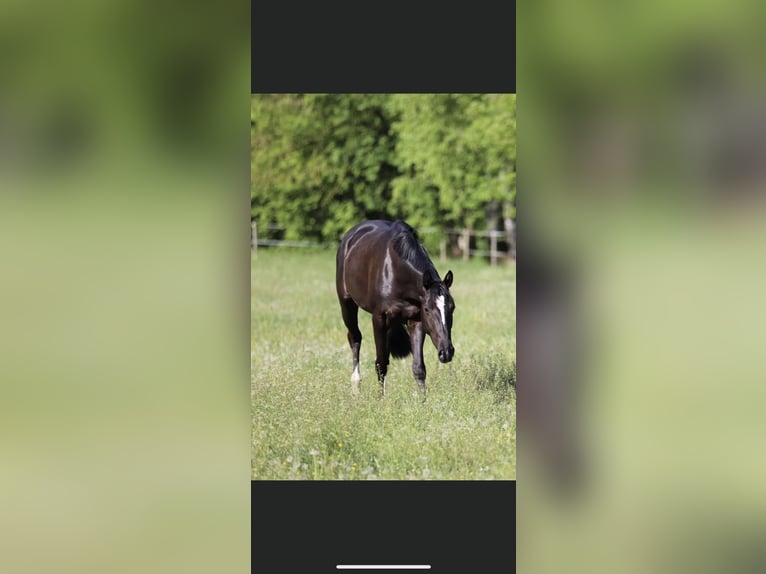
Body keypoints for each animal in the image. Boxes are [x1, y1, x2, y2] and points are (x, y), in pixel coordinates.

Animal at [335, 220, 456, 397]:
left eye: (452, 308)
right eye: (427, 309)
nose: (446, 352)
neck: (396, 271)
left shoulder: (415, 320)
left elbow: (419, 367)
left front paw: (423, 400)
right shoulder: (379, 318)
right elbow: (381, 363)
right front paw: (381, 399)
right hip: (347, 304)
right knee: (355, 338)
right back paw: (356, 385)